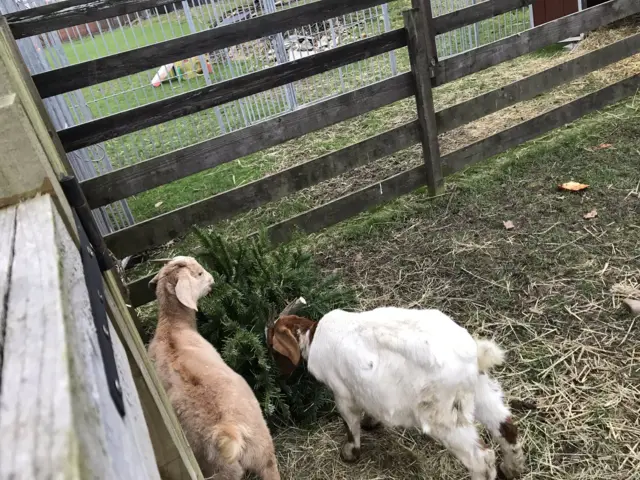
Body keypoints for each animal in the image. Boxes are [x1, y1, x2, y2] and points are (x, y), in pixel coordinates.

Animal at [268, 308, 524, 480]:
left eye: (272, 345)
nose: (276, 373)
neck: (312, 336)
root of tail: (473, 357)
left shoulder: (342, 394)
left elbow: (350, 424)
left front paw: (350, 453)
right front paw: (371, 422)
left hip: (443, 416)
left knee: (481, 460)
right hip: (480, 390)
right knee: (507, 428)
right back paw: (510, 469)